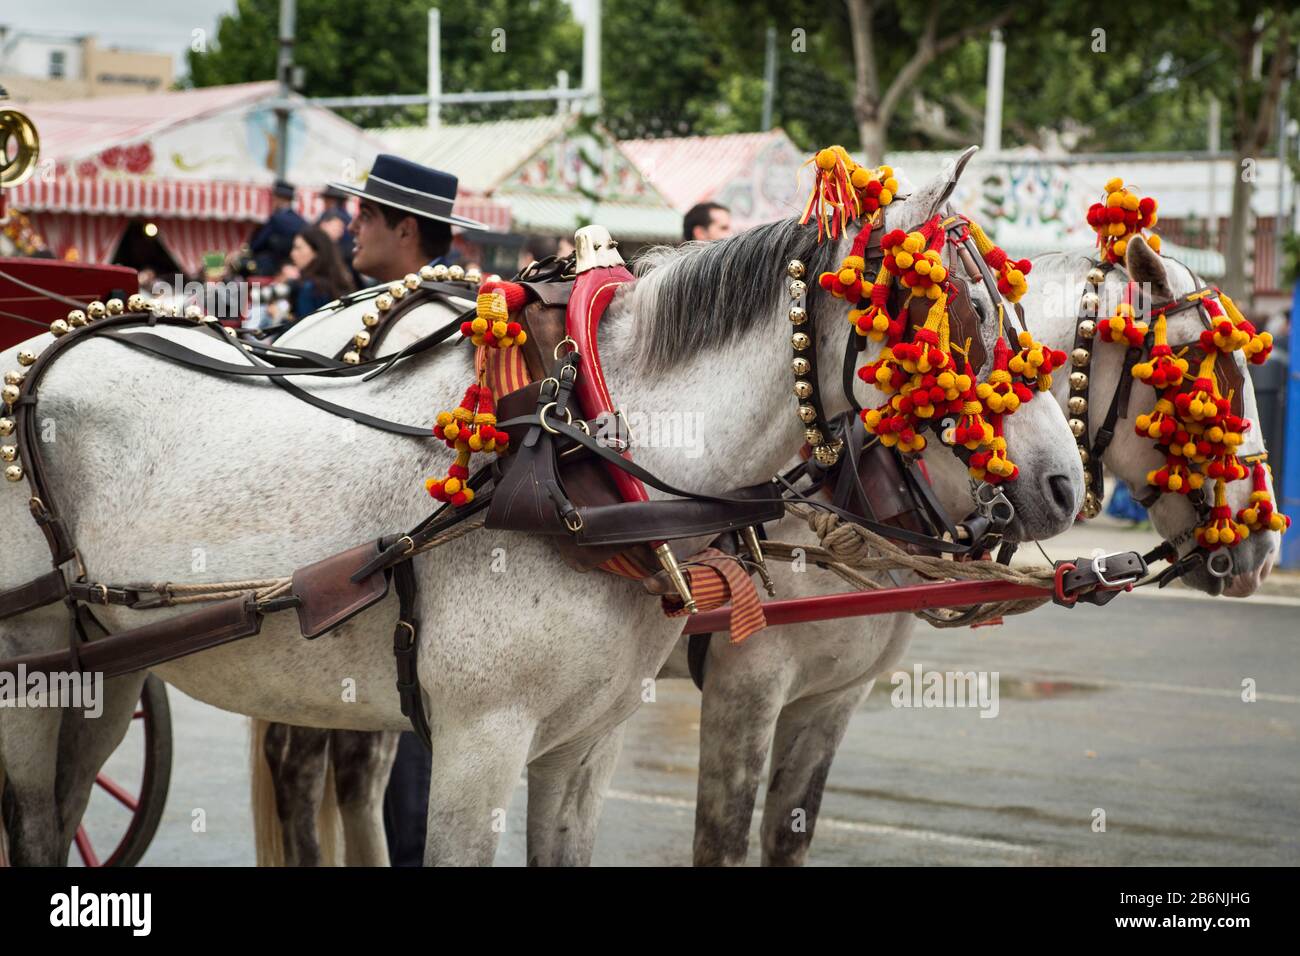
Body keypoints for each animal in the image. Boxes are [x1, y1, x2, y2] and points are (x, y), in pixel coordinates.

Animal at [0, 158, 1081, 868]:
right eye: (954, 319)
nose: (1065, 484)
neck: (580, 466)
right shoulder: (482, 745)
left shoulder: (586, 746)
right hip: (34, 674)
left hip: (106, 672)